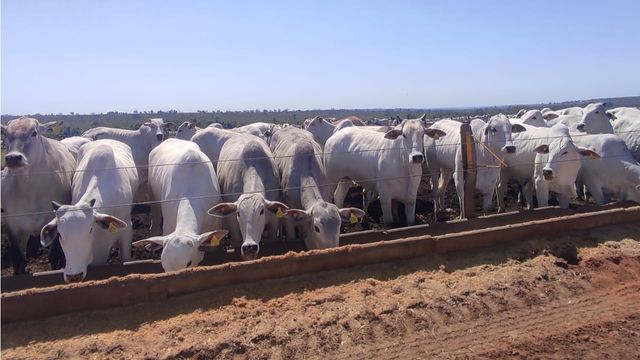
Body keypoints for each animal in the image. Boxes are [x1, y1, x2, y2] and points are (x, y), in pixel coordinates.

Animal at [0, 117, 75, 272]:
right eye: (5, 134)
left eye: (34, 133)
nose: (13, 158)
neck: (31, 189)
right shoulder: (14, 226)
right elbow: (19, 261)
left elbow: (54, 256)